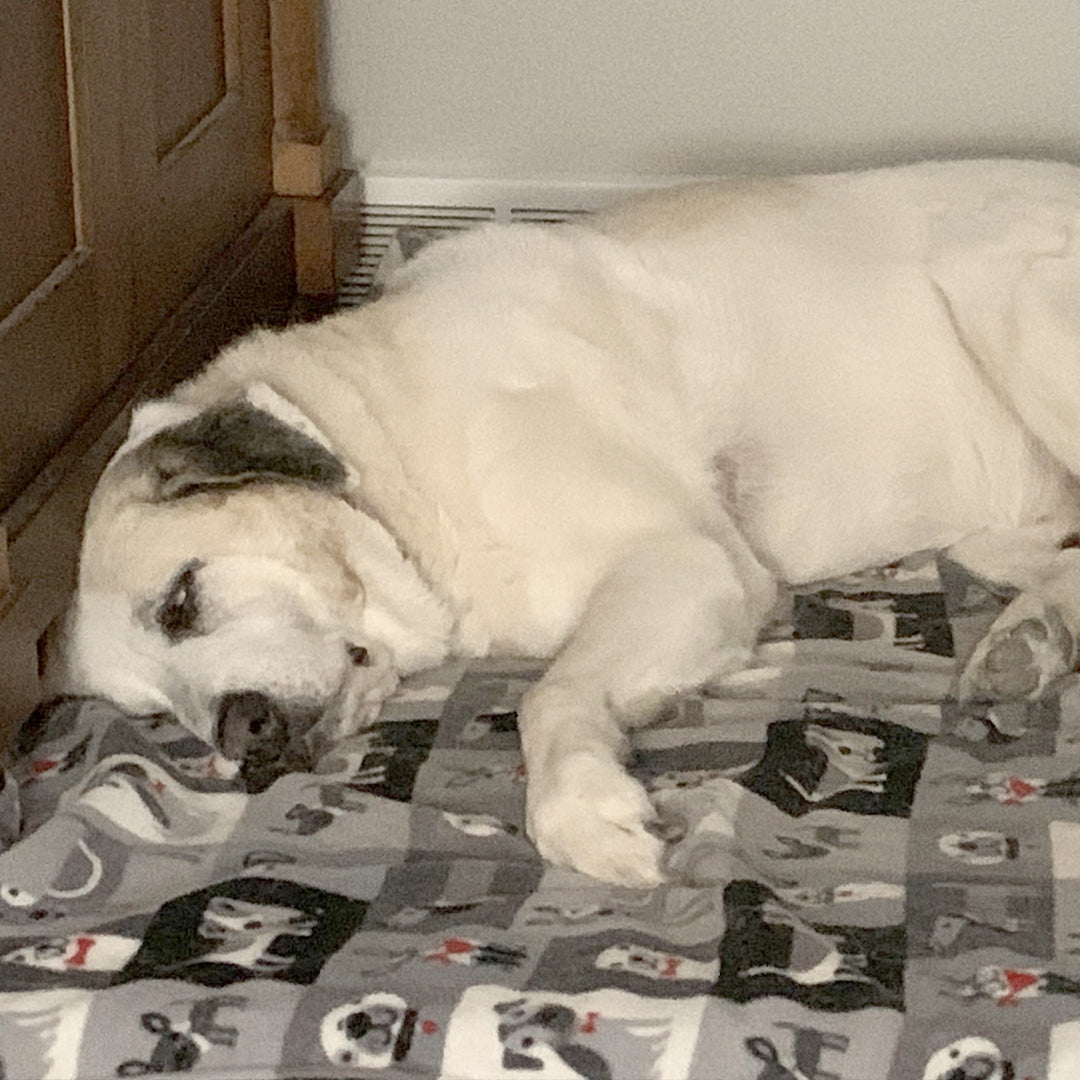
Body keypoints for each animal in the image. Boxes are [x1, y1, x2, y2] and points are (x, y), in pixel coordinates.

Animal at [65, 157, 1080, 885]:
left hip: (1012, 302)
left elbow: (547, 695)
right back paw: (1030, 637)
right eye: (154, 716)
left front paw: (584, 811)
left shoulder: (687, 560)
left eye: (181, 599)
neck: (403, 446)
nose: (240, 740)